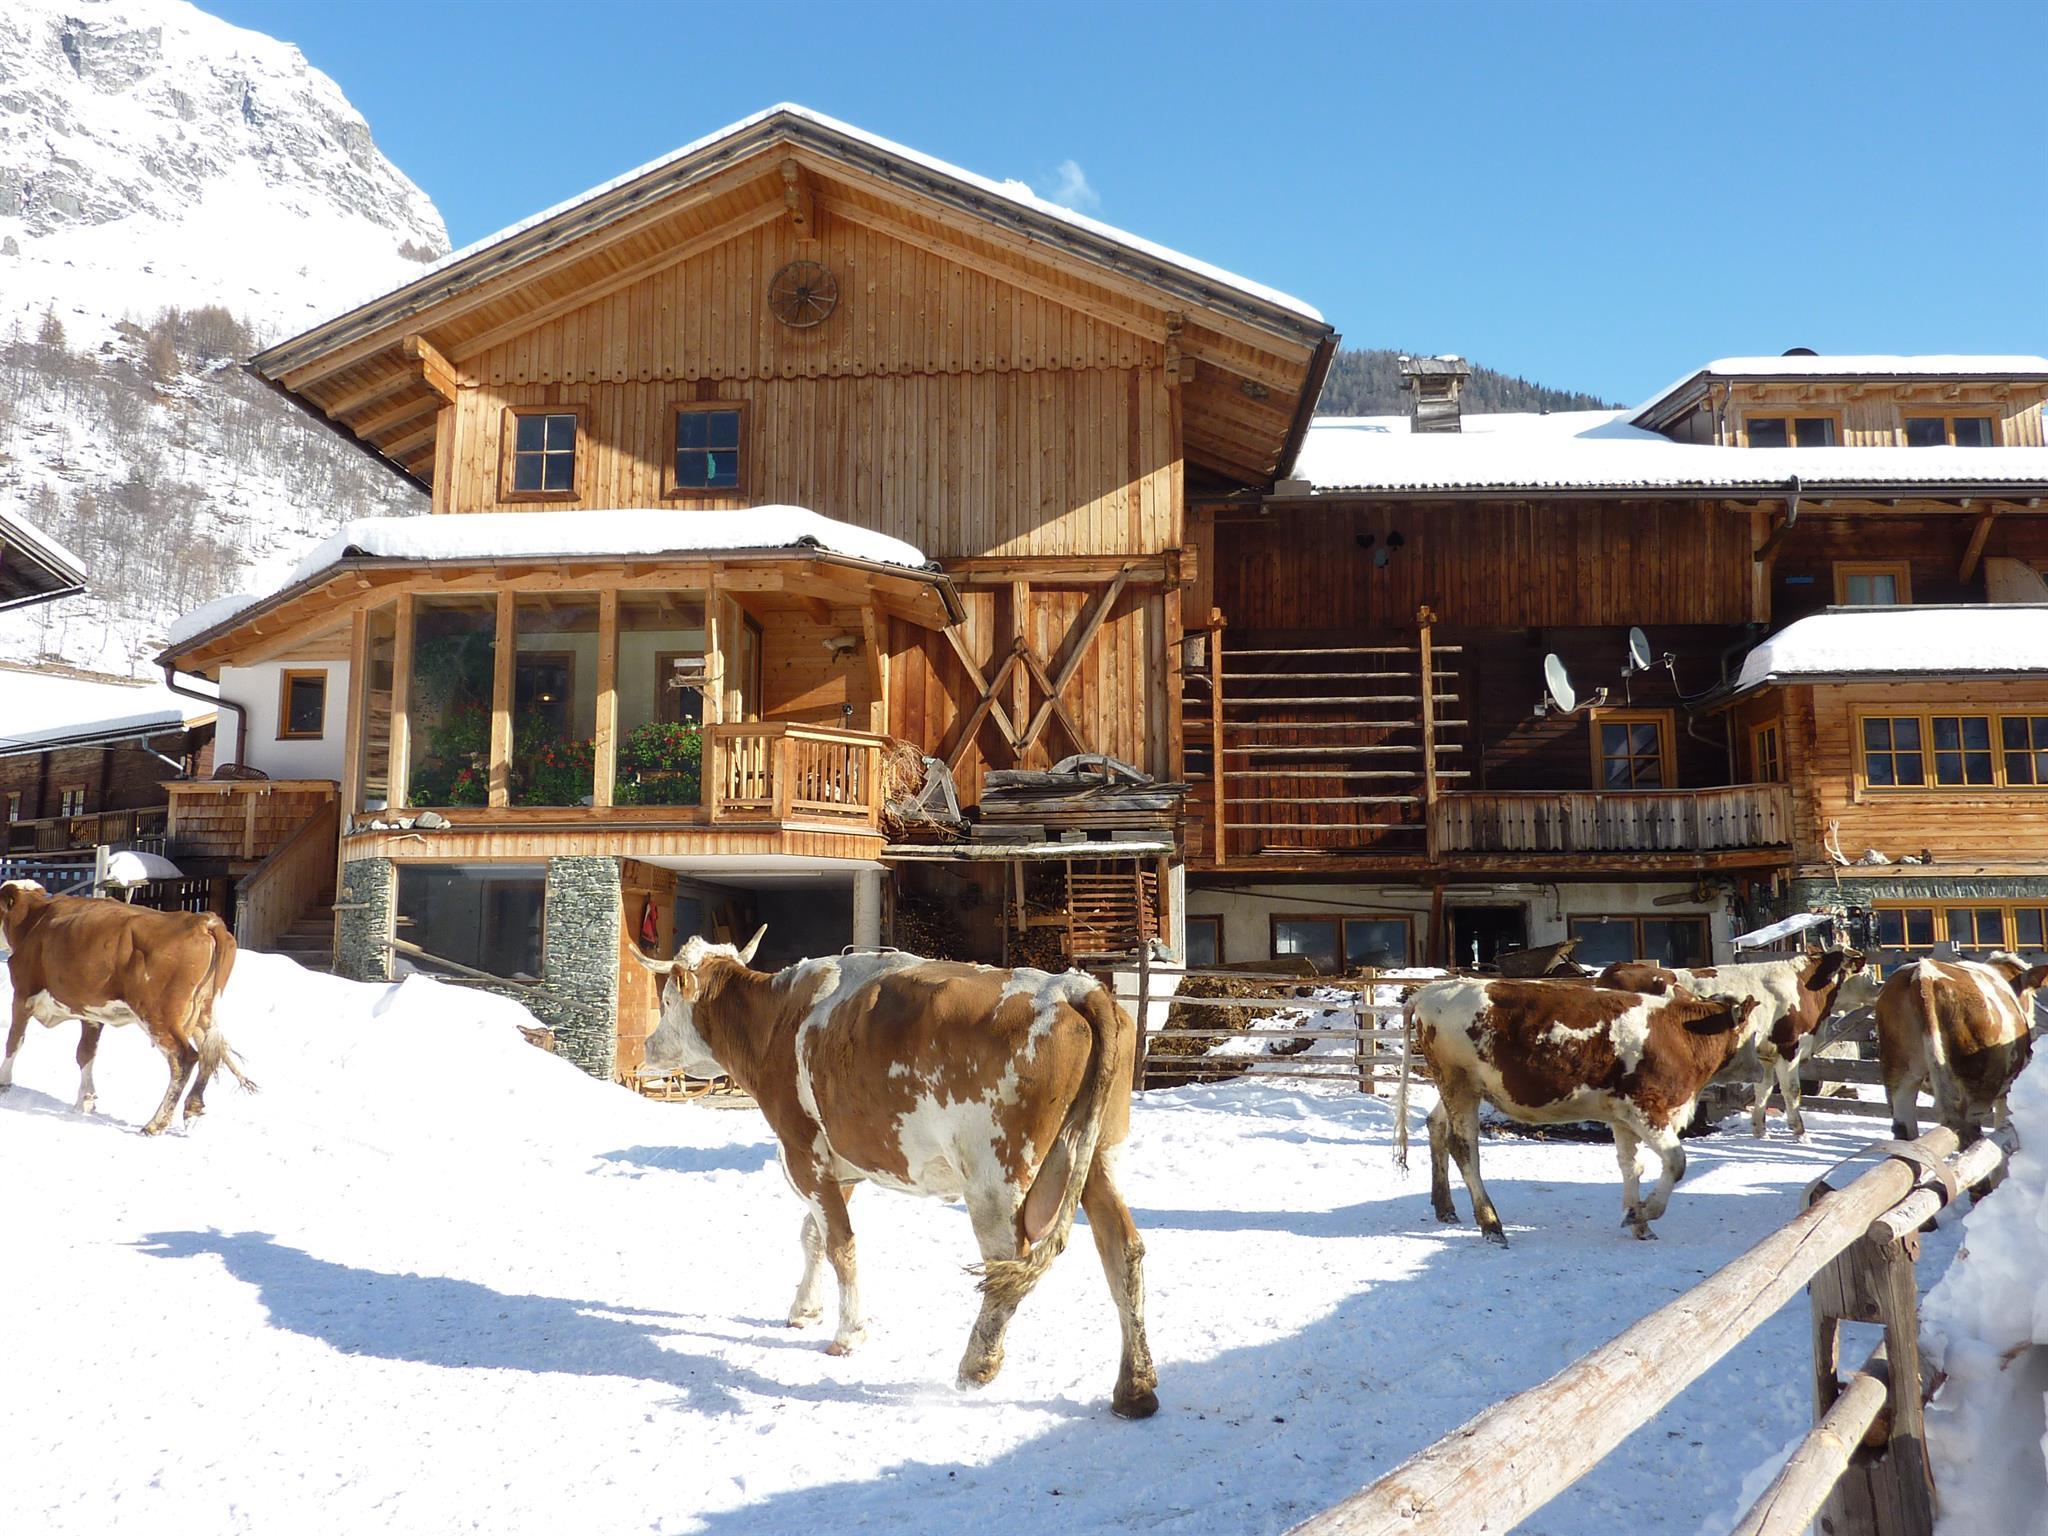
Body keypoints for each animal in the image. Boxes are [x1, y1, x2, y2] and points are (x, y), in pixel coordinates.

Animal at [0, 880, 251, 1134]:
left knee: (185, 1058)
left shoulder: (23, 994)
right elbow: (85, 1053)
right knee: (211, 1051)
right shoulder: (90, 1011)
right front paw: (85, 1100)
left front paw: (4, 1084)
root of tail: (202, 921)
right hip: (201, 1013)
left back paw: (155, 1123)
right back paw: (192, 1106)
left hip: (160, 1016)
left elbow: (14, 1041)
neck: (34, 919)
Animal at [630, 930, 1158, 1419]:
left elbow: (840, 1243)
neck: (774, 1019)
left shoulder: (804, 1152)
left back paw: (977, 1365)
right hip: (1098, 1157)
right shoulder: (842, 1165)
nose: (648, 1045)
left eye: (667, 999)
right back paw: (1135, 1388)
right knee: (1122, 1250)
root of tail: (1072, 987)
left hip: (995, 1177)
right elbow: (813, 1235)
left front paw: (848, 1333)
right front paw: (805, 1309)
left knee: (1007, 1266)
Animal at [1396, 977, 1760, 1242]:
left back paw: (1445, 1207)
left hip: (1459, 1088)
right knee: (1463, 1146)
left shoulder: (1623, 1116)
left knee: (1436, 1126)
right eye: (1752, 1031)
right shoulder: (1646, 1106)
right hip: (1458, 1085)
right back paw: (1490, 1223)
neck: (1681, 1034)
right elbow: (1676, 1162)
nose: (1761, 1065)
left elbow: (1632, 1167)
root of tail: (1431, 990)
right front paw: (1645, 1212)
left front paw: (1637, 1220)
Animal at [1595, 950, 1881, 1139]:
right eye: (1866, 971)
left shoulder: (1766, 1052)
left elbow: (1763, 1090)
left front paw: (1760, 1133)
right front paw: (1801, 1135)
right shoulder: (1789, 1046)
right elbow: (1792, 1091)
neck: (1802, 984)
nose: (1880, 988)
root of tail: (1616, 968)